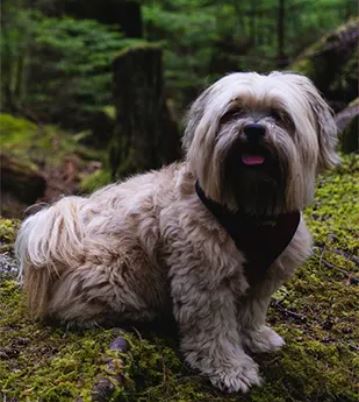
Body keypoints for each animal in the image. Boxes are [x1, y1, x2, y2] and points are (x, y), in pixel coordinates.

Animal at [15, 71, 338, 392]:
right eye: (232, 113)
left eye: (279, 115)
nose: (254, 129)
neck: (251, 211)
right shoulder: (204, 278)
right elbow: (214, 329)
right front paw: (230, 368)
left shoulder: (263, 278)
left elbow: (250, 312)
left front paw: (255, 337)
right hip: (115, 271)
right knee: (73, 308)